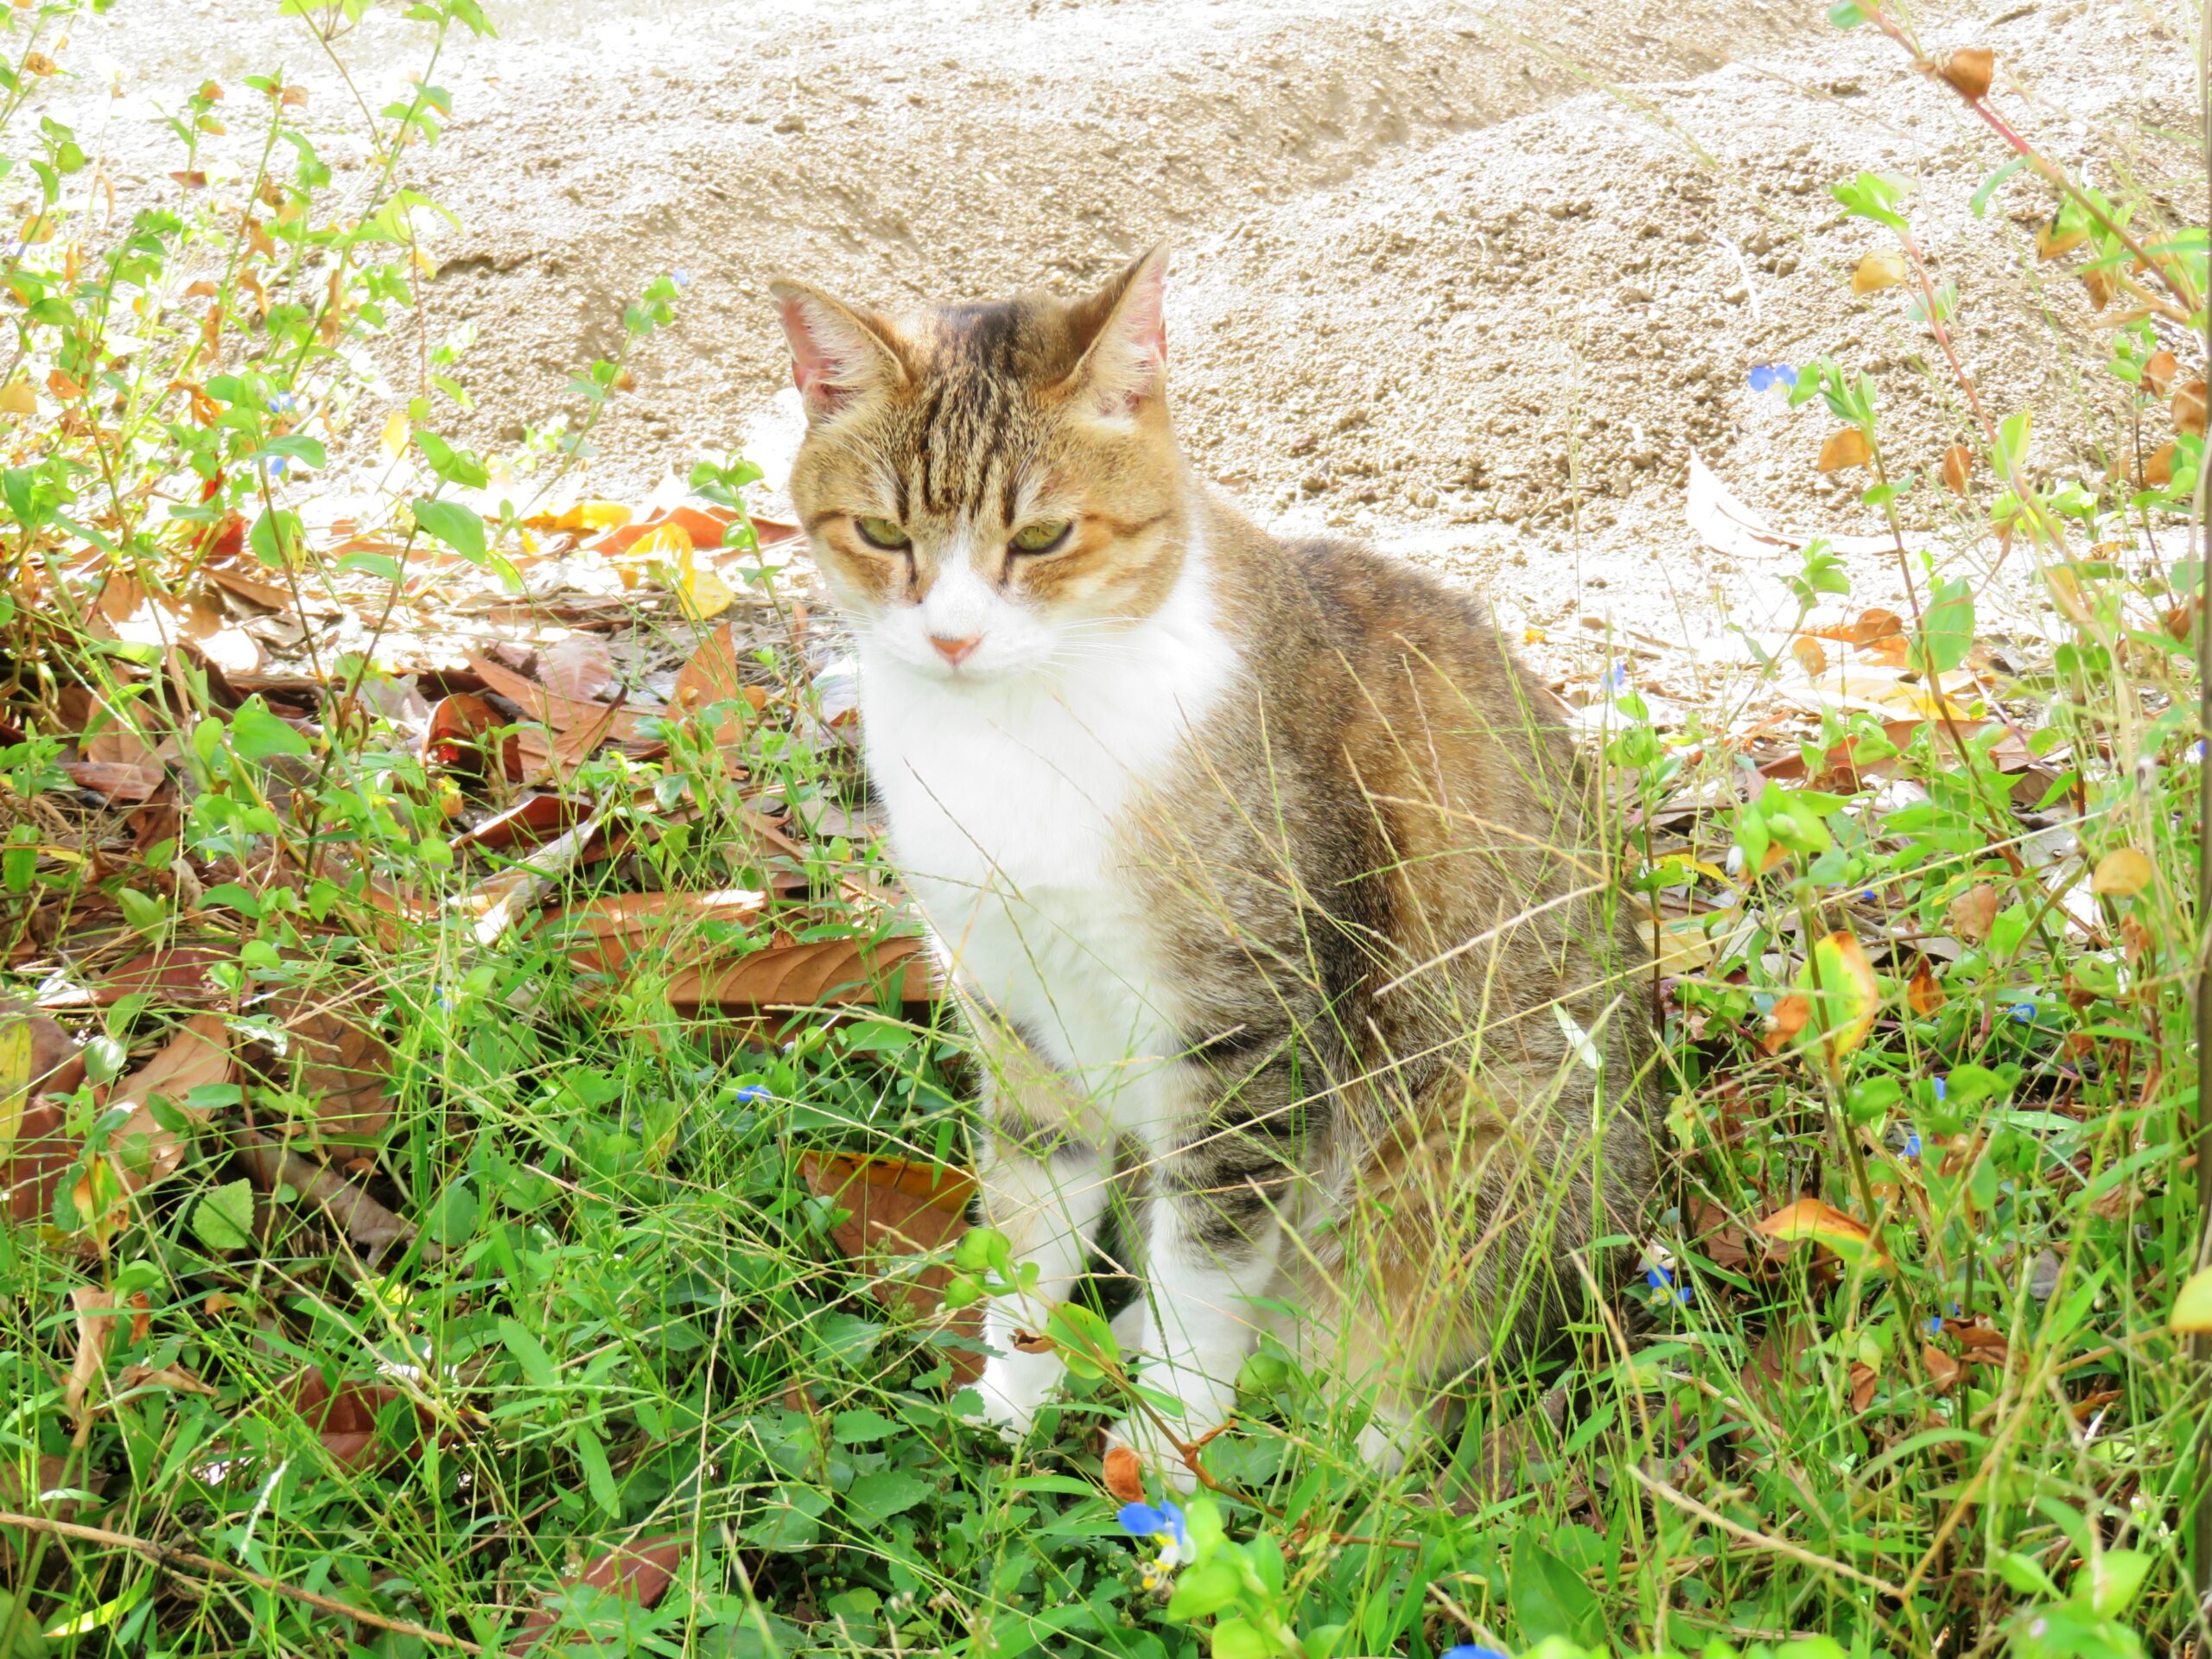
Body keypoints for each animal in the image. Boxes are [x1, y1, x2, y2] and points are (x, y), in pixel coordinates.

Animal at [769, 250, 1654, 1495]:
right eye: (883, 532)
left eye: (1043, 538)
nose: (950, 637)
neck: (1013, 729)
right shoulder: (1017, 1011)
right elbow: (1032, 1228)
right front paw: (1013, 1401)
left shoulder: (1250, 1031)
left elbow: (1211, 1257)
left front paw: (1166, 1446)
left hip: (1488, 1129)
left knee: (1388, 1359)